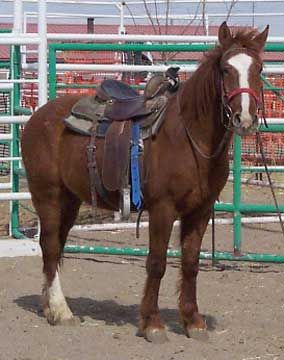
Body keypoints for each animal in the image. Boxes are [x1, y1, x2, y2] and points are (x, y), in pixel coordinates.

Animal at [21, 22, 268, 344]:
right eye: (226, 69)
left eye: (259, 68)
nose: (245, 119)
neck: (190, 138)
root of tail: (37, 117)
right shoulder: (163, 209)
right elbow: (157, 263)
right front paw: (152, 324)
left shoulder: (200, 211)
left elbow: (190, 263)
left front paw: (193, 322)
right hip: (47, 196)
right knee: (50, 246)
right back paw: (62, 312)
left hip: (70, 200)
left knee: (56, 248)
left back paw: (50, 307)